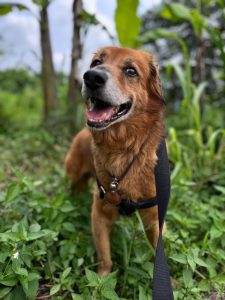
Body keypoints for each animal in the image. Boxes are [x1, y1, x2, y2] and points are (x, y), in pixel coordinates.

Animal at [65, 46, 165, 276]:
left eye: (131, 71)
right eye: (96, 62)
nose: (92, 77)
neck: (122, 148)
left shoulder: (156, 218)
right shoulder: (99, 214)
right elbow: (105, 258)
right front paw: (102, 279)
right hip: (72, 177)